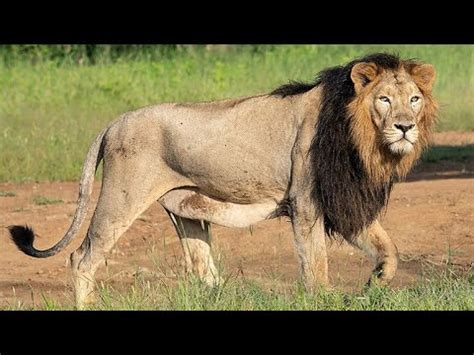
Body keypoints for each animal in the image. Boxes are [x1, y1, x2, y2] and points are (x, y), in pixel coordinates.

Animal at [8, 52, 436, 308]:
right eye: (384, 99)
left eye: (414, 99)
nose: (405, 127)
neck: (364, 141)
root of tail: (114, 121)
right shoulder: (306, 205)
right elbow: (316, 268)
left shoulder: (346, 202)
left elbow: (389, 251)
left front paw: (374, 286)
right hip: (122, 196)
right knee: (82, 257)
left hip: (186, 208)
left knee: (203, 272)